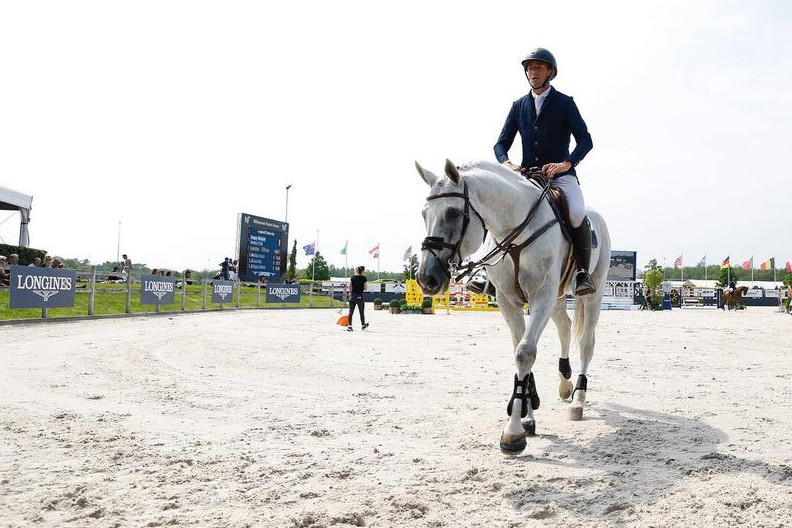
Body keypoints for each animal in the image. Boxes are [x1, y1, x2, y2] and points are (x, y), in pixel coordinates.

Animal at [414, 160, 612, 454]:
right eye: (424, 214)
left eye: (452, 212)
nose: (427, 279)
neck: (515, 231)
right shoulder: (509, 301)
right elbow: (520, 350)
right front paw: (528, 417)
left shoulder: (541, 296)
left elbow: (524, 353)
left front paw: (513, 433)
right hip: (557, 298)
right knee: (565, 329)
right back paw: (565, 385)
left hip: (592, 294)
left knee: (587, 343)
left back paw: (578, 400)